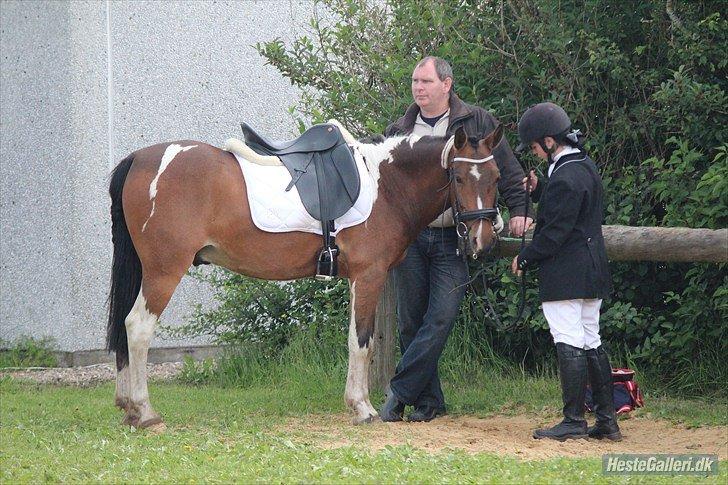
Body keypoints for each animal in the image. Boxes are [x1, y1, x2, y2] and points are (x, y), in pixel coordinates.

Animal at [108, 122, 504, 428]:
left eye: (496, 176)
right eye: (457, 177)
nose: (483, 238)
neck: (387, 185)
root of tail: (139, 158)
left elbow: (365, 340)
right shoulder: (368, 276)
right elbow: (360, 341)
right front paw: (362, 407)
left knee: (124, 327)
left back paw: (128, 408)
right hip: (163, 271)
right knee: (137, 328)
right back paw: (145, 412)